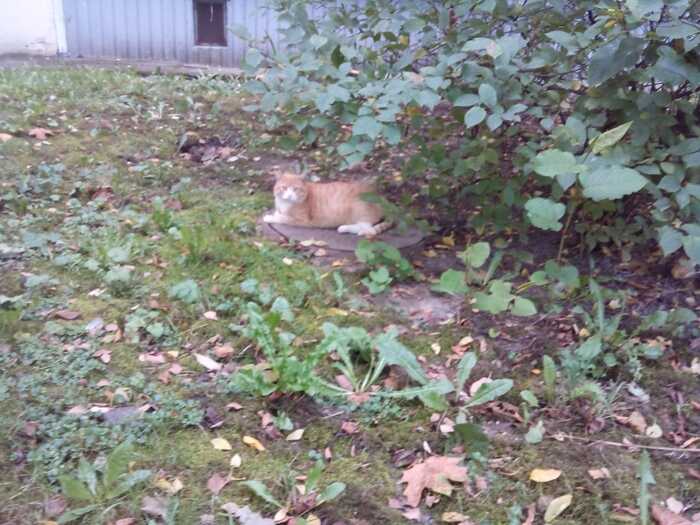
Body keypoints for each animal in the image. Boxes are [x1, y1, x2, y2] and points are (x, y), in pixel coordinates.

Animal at [263, 171, 392, 236]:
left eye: (295, 189)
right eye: (284, 188)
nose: (290, 195)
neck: (285, 203)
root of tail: (382, 198)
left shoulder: (302, 220)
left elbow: (282, 218)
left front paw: (269, 217)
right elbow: (279, 213)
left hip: (358, 208)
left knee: (369, 229)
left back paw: (346, 228)